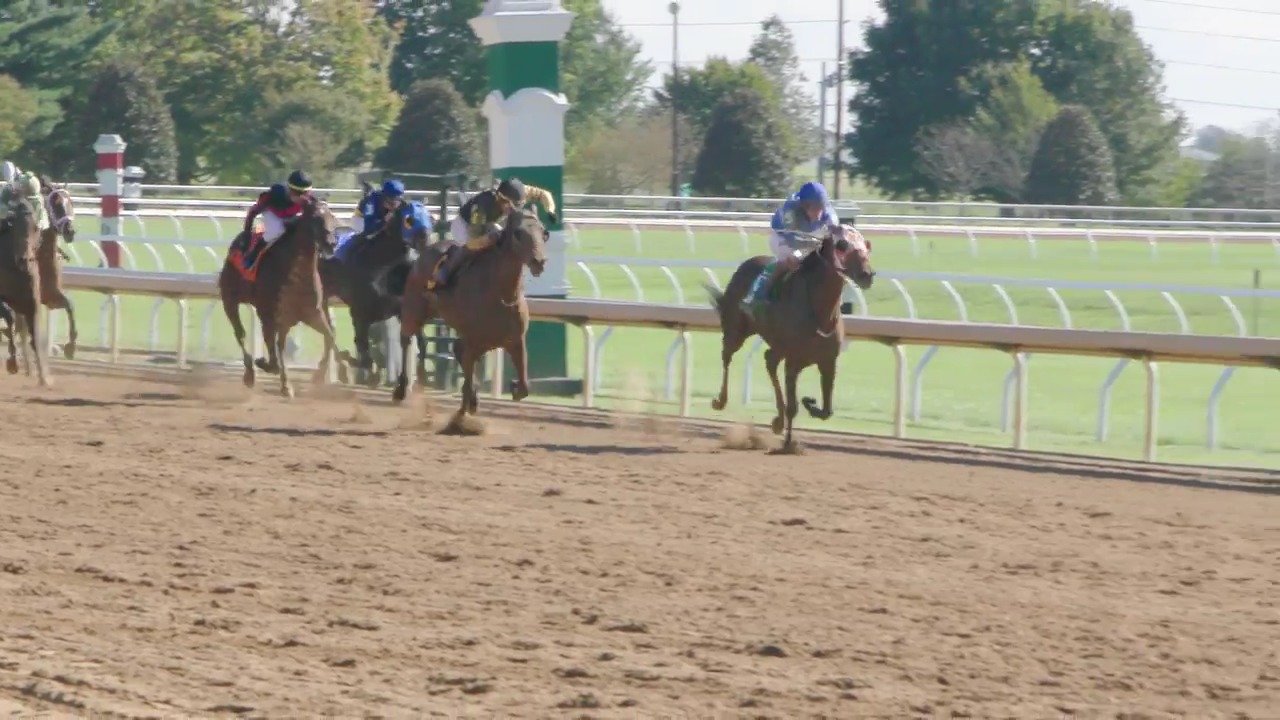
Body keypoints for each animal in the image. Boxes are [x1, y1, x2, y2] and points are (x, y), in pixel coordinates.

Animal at [0, 196, 50, 384]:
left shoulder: (31, 299)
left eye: (35, 228)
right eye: (14, 227)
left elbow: (35, 335)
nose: (24, 259)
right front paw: (12, 363)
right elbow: (11, 321)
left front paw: (45, 377)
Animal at [217, 196, 343, 397]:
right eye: (315, 218)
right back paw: (250, 374)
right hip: (230, 299)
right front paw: (285, 384)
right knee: (241, 334)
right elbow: (278, 346)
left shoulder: (312, 313)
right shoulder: (277, 314)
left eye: (332, 217)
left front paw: (331, 374)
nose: (331, 243)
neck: (297, 277)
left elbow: (330, 336)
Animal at [391, 204, 547, 422]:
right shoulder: (474, 341)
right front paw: (462, 415)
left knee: (455, 349)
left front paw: (513, 387)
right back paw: (401, 389)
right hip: (415, 307)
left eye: (544, 232)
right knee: (406, 338)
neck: (500, 292)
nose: (539, 261)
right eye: (518, 233)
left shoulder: (515, 340)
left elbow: (524, 386)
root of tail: (426, 249)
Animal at [706, 221, 875, 450]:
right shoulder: (793, 362)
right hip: (736, 330)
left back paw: (778, 421)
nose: (867, 274)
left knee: (769, 360)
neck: (819, 312)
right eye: (842, 245)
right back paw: (720, 400)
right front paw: (788, 445)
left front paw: (810, 404)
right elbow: (793, 406)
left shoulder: (828, 362)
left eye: (866, 246)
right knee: (727, 356)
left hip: (777, 345)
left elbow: (827, 410)